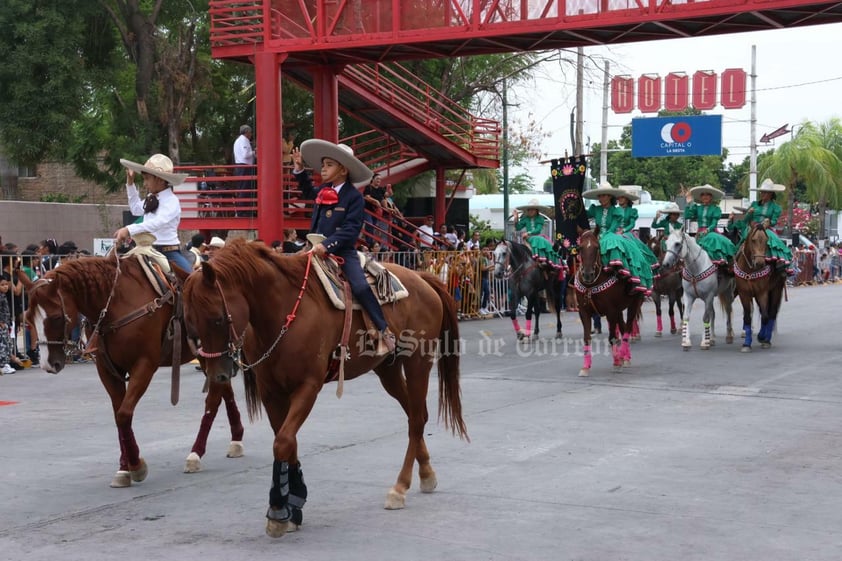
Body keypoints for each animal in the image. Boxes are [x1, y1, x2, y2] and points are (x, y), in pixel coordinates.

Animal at [23, 253, 246, 486]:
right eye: (28, 318)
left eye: (56, 317)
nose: (48, 364)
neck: (116, 304)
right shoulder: (108, 370)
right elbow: (119, 416)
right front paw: (124, 468)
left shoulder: (144, 365)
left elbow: (124, 414)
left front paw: (137, 466)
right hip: (214, 357)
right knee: (224, 388)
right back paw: (236, 438)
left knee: (213, 398)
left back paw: (196, 453)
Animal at [181, 241, 470, 540]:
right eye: (190, 322)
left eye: (216, 319)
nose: (217, 375)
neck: (282, 311)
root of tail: (422, 278)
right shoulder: (271, 392)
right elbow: (287, 441)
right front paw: (294, 504)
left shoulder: (308, 387)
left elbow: (283, 442)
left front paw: (279, 509)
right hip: (387, 371)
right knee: (417, 415)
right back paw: (426, 474)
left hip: (417, 363)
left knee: (415, 420)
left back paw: (399, 487)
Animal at [572, 230, 644, 378]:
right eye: (580, 248)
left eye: (597, 247)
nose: (587, 274)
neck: (591, 285)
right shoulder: (584, 312)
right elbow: (587, 338)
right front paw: (585, 367)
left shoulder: (611, 311)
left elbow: (612, 338)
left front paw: (616, 363)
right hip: (619, 310)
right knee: (622, 327)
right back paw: (625, 357)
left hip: (634, 304)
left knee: (627, 328)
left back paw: (623, 357)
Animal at [732, 222, 784, 350]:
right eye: (753, 240)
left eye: (766, 240)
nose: (760, 263)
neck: (750, 270)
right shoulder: (744, 293)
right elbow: (747, 317)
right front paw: (746, 344)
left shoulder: (762, 292)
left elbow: (765, 316)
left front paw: (762, 337)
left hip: (776, 290)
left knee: (771, 313)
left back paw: (767, 339)